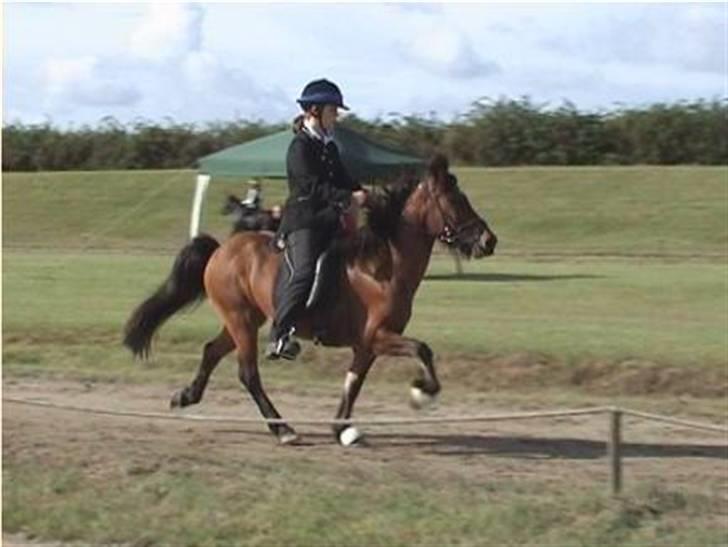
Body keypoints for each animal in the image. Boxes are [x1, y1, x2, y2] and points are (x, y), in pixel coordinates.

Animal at [125, 154, 498, 446]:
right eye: (455, 201)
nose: (489, 241)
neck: (383, 266)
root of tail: (221, 250)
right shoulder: (378, 336)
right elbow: (422, 349)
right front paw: (422, 392)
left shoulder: (367, 344)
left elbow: (353, 383)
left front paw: (342, 430)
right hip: (241, 319)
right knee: (248, 374)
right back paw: (283, 430)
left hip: (244, 318)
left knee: (211, 352)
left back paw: (186, 396)